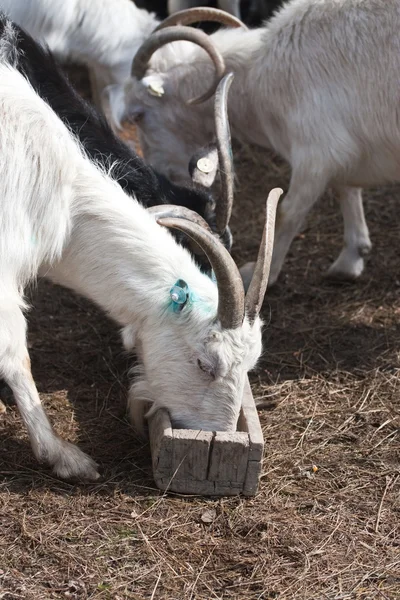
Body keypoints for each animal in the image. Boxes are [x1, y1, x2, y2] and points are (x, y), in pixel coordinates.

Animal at [113, 0, 400, 288]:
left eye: (137, 115)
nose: (156, 170)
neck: (258, 78)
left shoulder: (315, 153)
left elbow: (286, 213)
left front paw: (260, 274)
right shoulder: (342, 148)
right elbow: (346, 188)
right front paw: (352, 257)